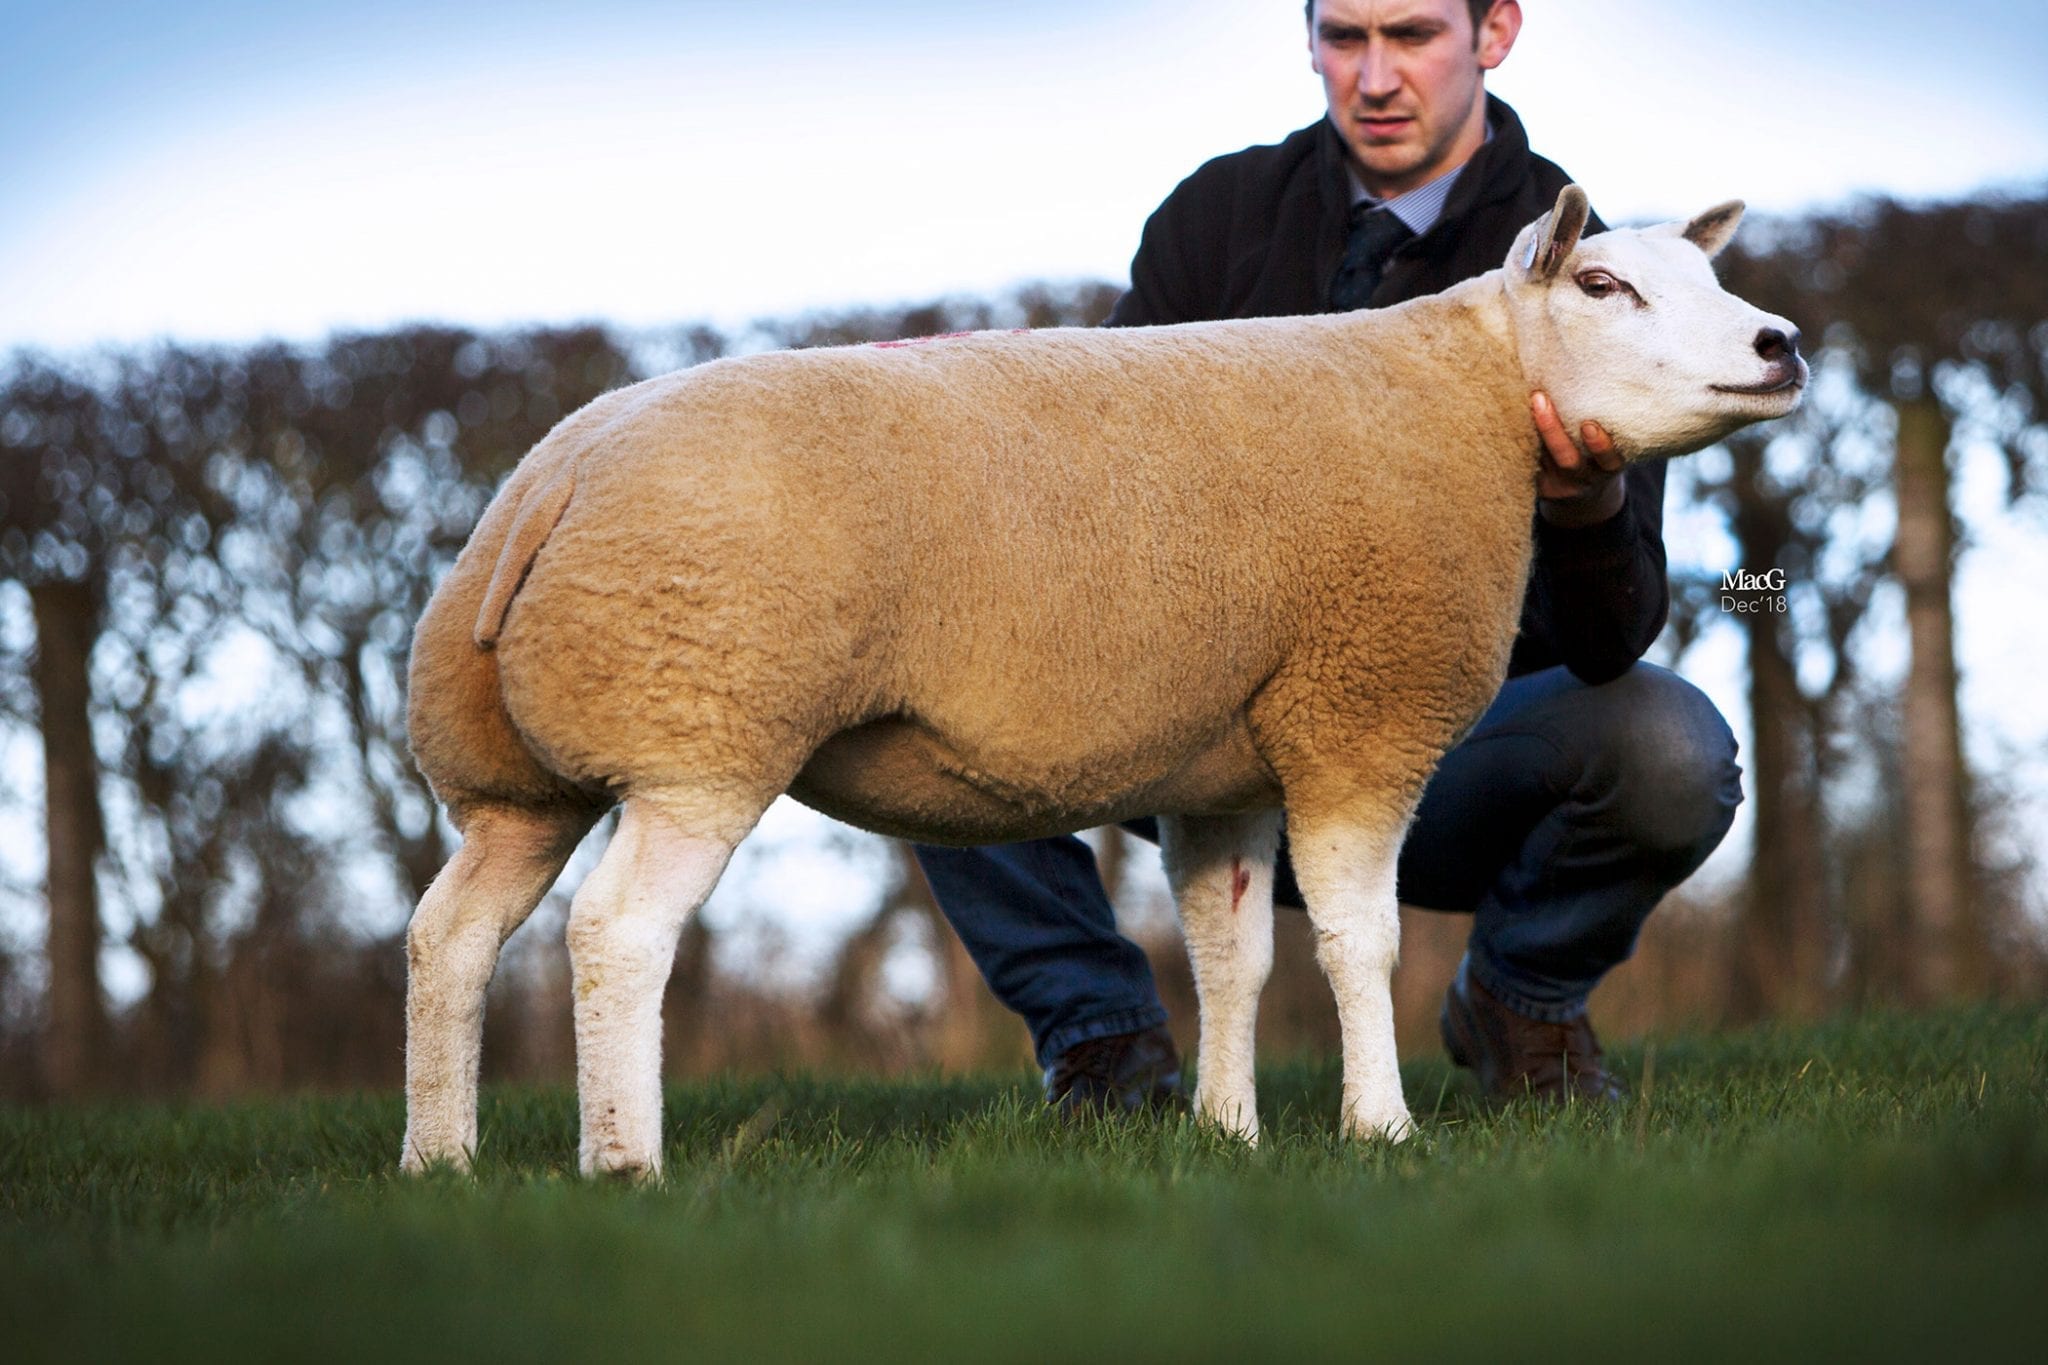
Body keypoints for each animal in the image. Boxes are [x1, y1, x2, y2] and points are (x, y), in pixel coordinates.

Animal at [399, 186, 1805, 1176]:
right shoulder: (1358, 712)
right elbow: (1359, 940)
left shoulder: (1225, 767)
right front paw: (1381, 1132)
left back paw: (439, 1160)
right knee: (614, 934)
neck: (1469, 394)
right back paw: (623, 1166)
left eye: (1709, 277)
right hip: (697, 721)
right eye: (1604, 283)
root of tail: (550, 480)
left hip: (516, 774)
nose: (1780, 341)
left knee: (449, 938)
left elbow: (1230, 952)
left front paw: (1228, 1135)